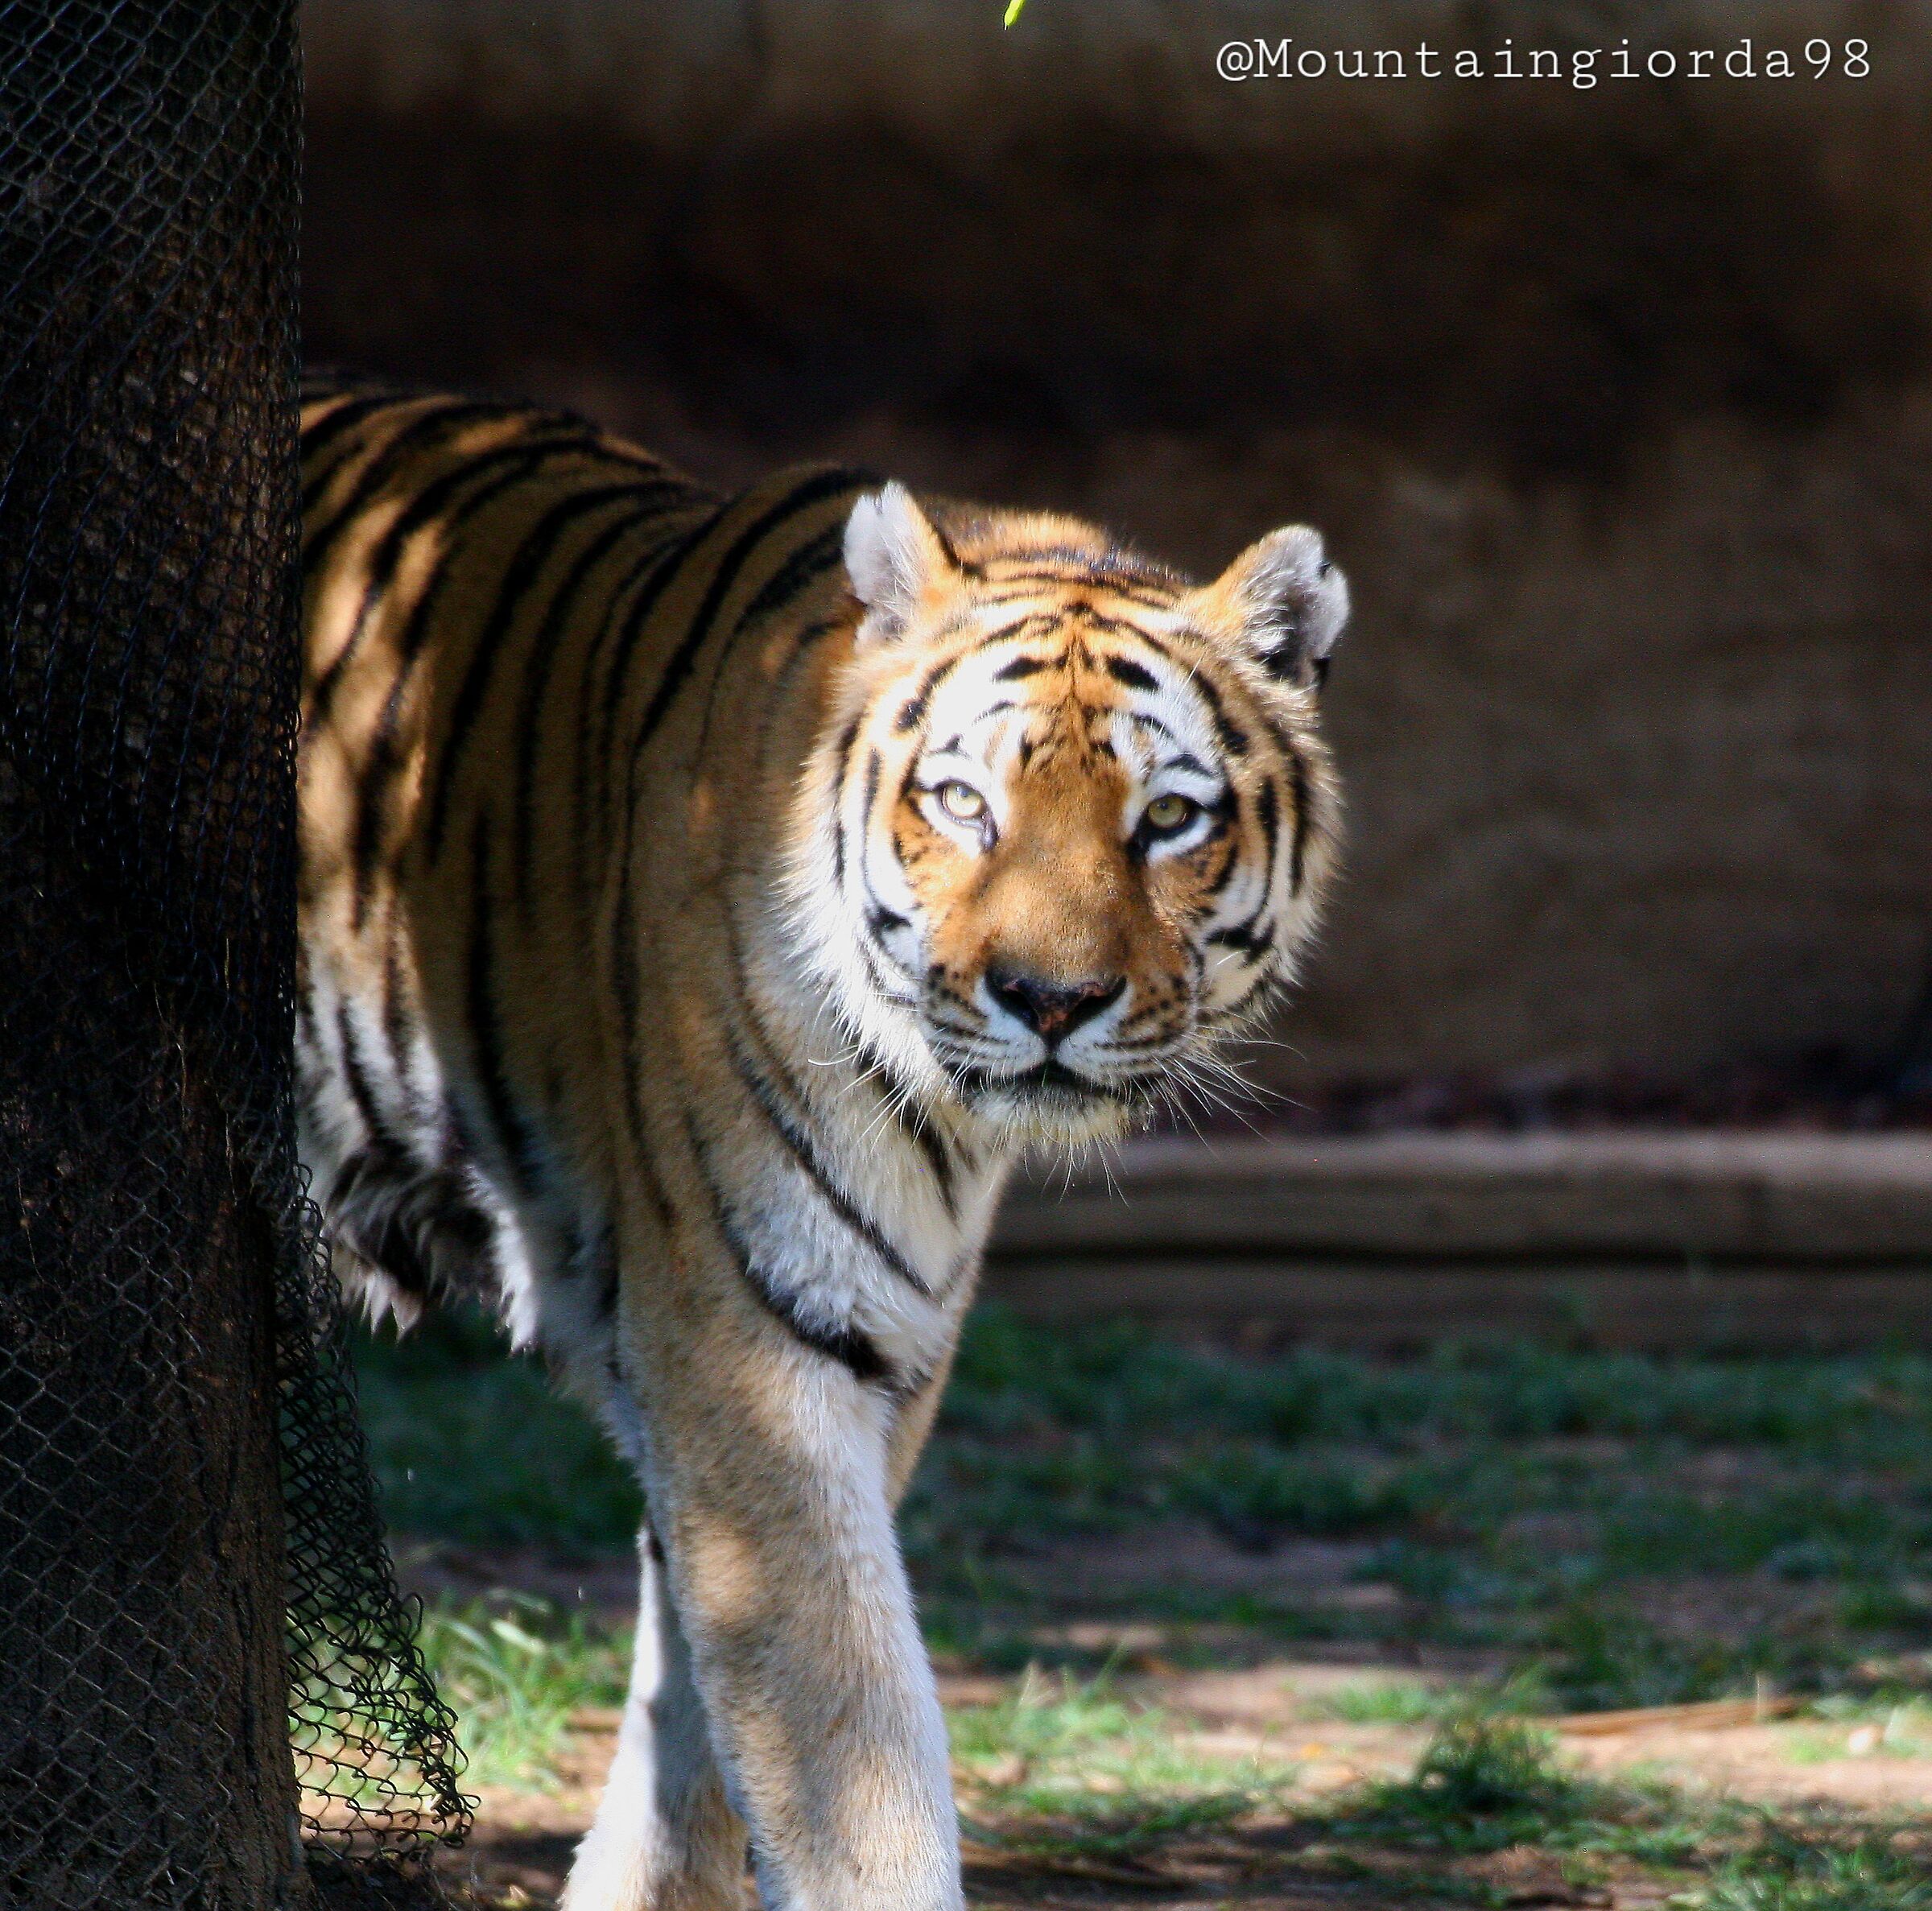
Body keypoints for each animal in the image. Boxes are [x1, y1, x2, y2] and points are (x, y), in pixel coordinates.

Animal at [295, 375, 1349, 1911]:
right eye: (965, 802)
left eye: (1167, 816)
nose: (1051, 1000)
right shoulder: (750, 1335)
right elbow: (849, 1734)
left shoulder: (855, 1343)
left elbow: (701, 1682)